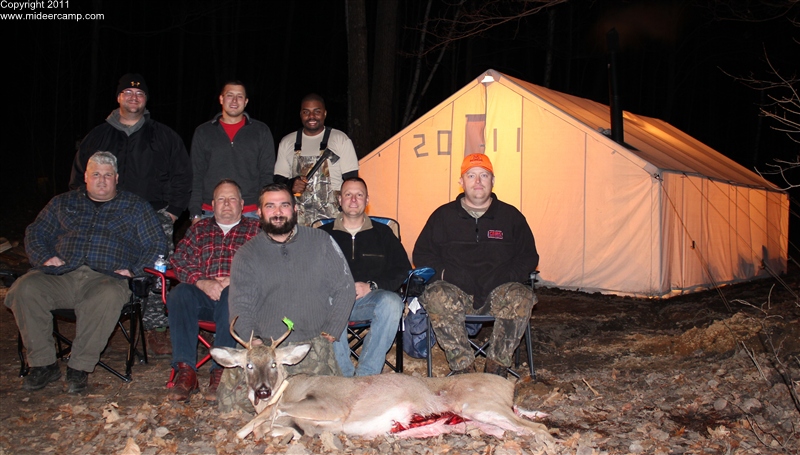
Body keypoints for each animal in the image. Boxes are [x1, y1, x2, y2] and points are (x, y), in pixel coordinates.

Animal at [209, 318, 552, 444]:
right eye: (247, 365)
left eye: (275, 363)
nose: (262, 391)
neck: (290, 387)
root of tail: (509, 385)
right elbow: (269, 426)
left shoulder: (330, 405)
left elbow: (272, 416)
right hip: (483, 419)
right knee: (525, 424)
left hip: (479, 404)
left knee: (539, 430)